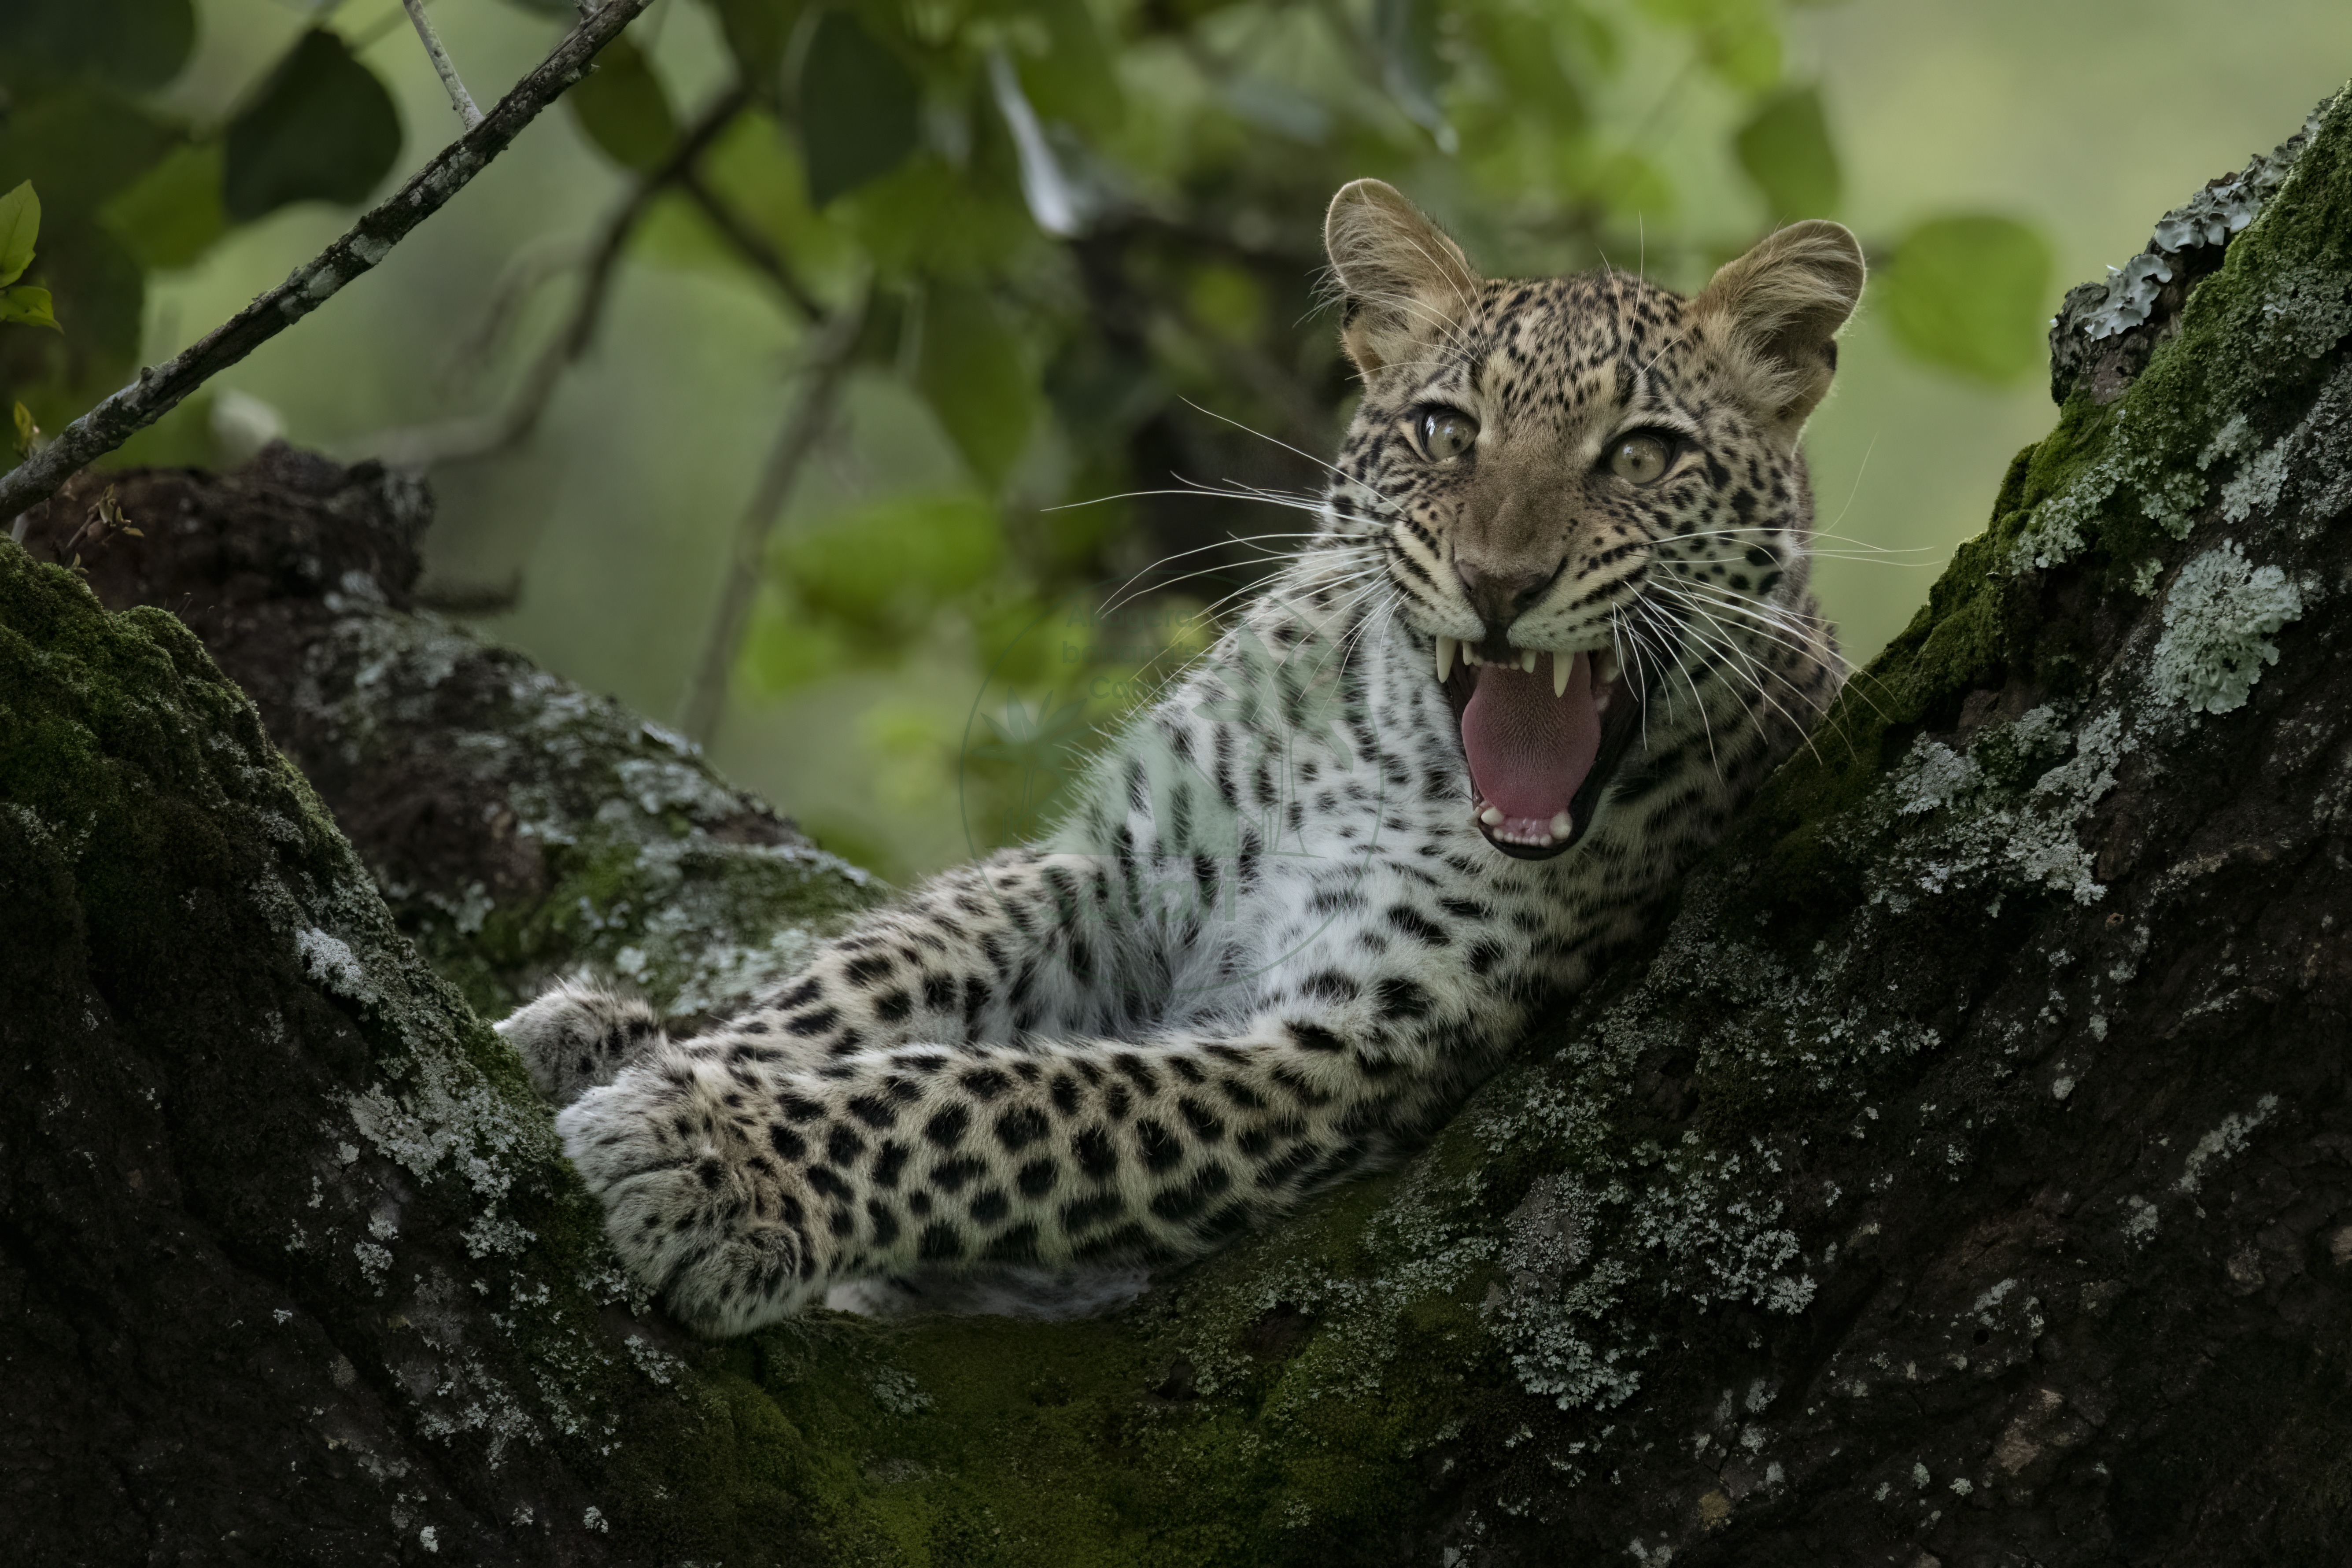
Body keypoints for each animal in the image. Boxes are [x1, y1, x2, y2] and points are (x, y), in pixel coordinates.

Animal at [497, 180, 1864, 1336]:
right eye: (1444, 430)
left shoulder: (1350, 1043)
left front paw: (722, 1167)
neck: (1393, 758)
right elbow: (860, 984)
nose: (1497, 584)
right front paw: (625, 1048)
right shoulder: (1109, 878)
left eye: (1641, 453)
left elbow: (1008, 1108)